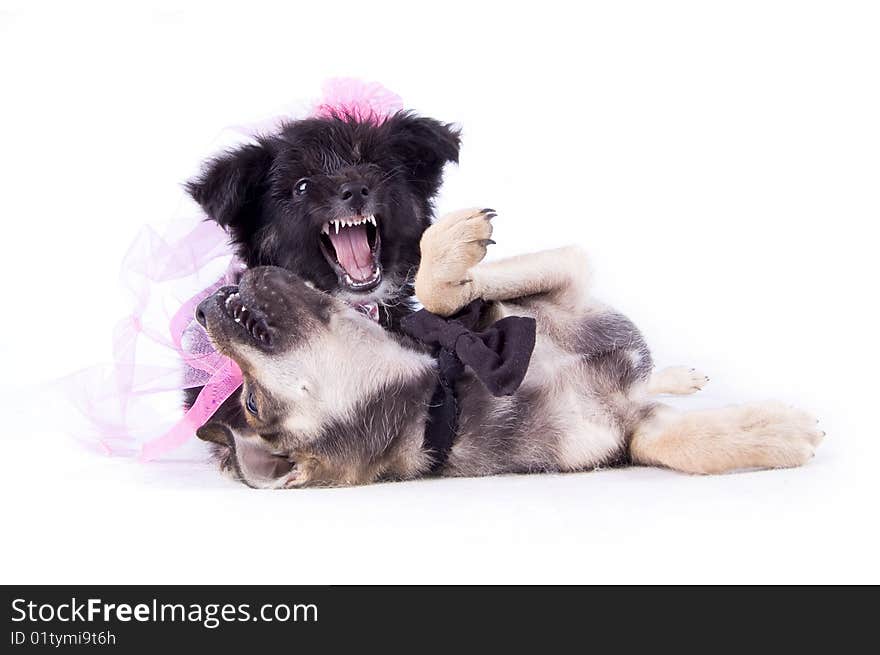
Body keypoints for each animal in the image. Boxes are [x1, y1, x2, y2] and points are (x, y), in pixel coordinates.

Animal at [194, 209, 824, 486]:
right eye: (252, 404)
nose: (202, 310)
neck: (447, 390)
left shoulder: (565, 277)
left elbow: (445, 290)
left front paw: (451, 248)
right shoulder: (626, 434)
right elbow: (672, 444)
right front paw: (781, 430)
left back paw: (682, 374)